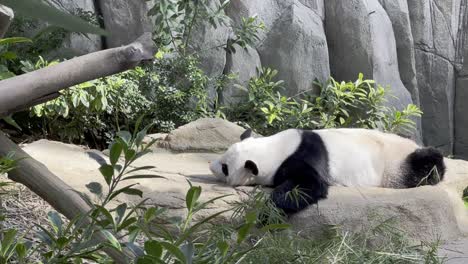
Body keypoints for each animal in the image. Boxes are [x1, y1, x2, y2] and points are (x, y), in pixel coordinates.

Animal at [208, 129, 446, 213]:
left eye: (225, 168)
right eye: (223, 157)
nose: (210, 166)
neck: (274, 148)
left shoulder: (304, 157)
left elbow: (308, 186)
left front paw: (268, 213)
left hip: (395, 165)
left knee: (422, 165)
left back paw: (434, 168)